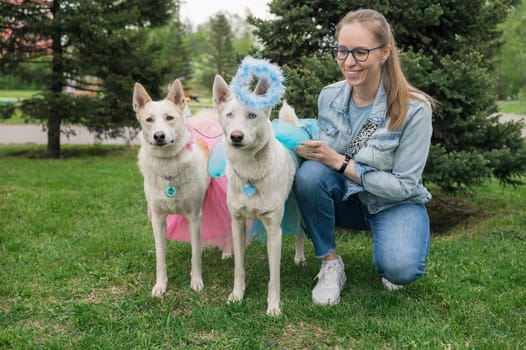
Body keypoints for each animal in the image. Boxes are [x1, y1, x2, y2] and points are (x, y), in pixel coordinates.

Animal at [133, 80, 211, 296]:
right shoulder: (158, 219)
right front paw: (160, 286)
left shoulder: (193, 216)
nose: (159, 136)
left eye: (170, 118)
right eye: (149, 120)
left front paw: (196, 281)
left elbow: (195, 256)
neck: (168, 164)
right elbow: (160, 258)